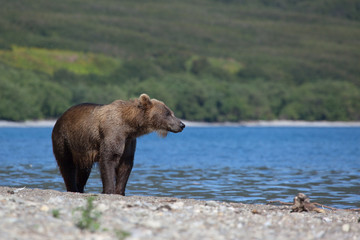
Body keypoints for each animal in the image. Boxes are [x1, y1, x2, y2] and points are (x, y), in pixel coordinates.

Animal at [52, 94, 186, 195]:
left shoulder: (129, 141)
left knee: (83, 170)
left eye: (172, 112)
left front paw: (120, 191)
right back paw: (72, 188)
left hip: (82, 149)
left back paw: (80, 188)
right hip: (64, 139)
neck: (129, 125)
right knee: (67, 165)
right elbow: (109, 158)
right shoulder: (112, 133)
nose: (182, 125)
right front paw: (109, 190)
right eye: (167, 113)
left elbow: (125, 164)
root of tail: (60, 117)